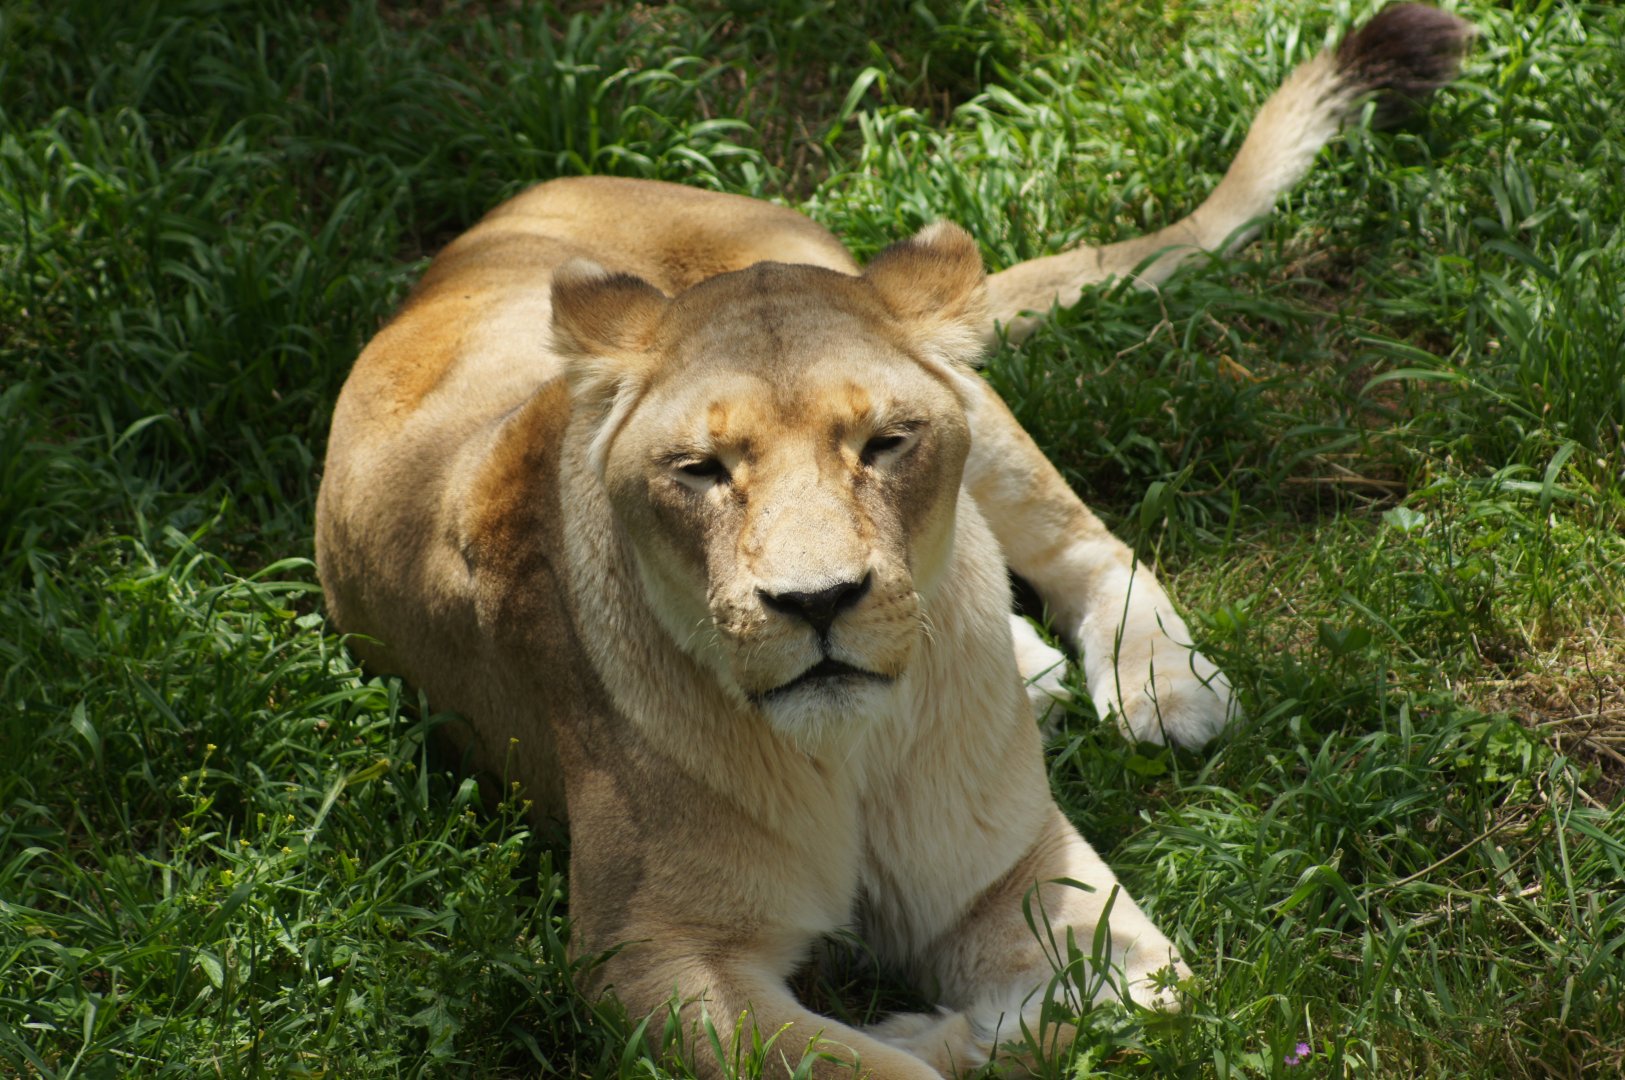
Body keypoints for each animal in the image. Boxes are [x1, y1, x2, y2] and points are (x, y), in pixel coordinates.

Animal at [314, 5, 1470, 1075]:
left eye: (883, 444)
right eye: (700, 470)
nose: (818, 603)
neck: (857, 755)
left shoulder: (1015, 864)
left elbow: (1148, 995)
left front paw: (949, 1022)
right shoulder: (647, 952)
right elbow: (862, 1062)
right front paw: (924, 1031)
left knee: (1090, 545)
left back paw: (1159, 689)